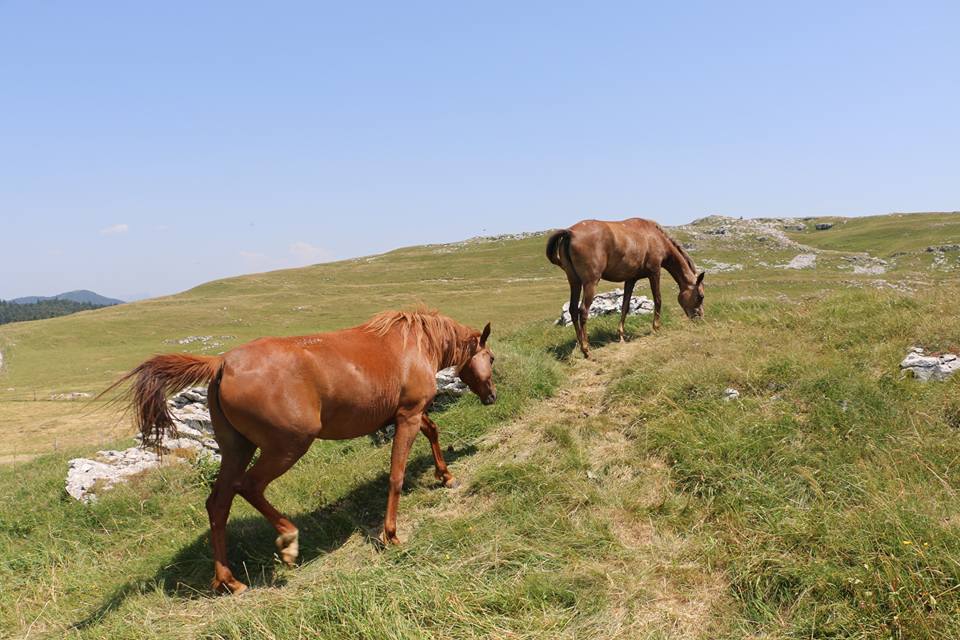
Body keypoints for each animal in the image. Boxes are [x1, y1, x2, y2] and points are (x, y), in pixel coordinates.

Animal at [109, 310, 496, 596]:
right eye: (490, 357)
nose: (492, 396)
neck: (416, 344)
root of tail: (222, 364)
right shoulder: (408, 416)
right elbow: (397, 476)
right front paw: (391, 534)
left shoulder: (408, 415)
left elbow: (433, 432)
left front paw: (445, 475)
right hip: (288, 447)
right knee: (248, 487)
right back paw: (288, 540)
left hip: (237, 448)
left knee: (218, 503)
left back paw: (229, 581)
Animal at [548, 220, 704, 358]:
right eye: (700, 296)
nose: (700, 317)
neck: (655, 237)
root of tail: (570, 232)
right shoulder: (655, 272)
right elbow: (658, 299)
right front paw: (656, 327)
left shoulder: (630, 279)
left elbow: (625, 306)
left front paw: (621, 335)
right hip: (590, 283)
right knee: (583, 311)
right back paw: (586, 350)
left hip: (574, 282)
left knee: (573, 310)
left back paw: (580, 344)